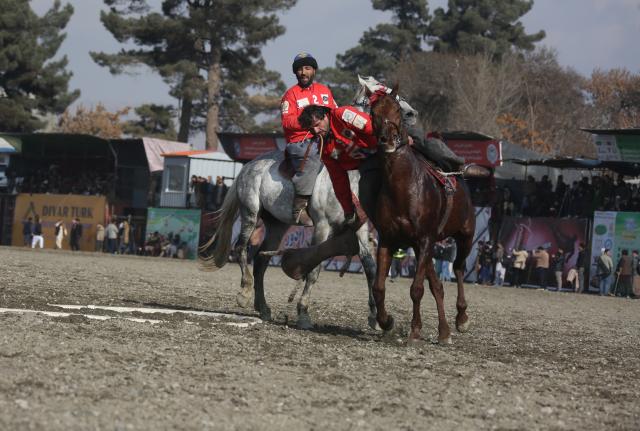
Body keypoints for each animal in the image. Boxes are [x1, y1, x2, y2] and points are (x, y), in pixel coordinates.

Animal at [199, 150, 378, 330]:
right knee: (240, 248)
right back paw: (245, 291)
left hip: (277, 225)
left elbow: (369, 267)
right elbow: (314, 270)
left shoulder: (360, 229)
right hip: (251, 213)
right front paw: (303, 314)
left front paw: (375, 317)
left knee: (261, 262)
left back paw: (263, 307)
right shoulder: (322, 226)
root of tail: (248, 166)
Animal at [368, 86, 476, 344]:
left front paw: (415, 329)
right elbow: (379, 288)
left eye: (397, 110)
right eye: (373, 112)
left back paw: (461, 318)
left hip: (465, 235)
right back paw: (444, 331)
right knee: (437, 286)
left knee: (458, 267)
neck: (403, 187)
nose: (387, 139)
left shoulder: (426, 239)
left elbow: (416, 289)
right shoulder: (388, 239)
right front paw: (386, 322)